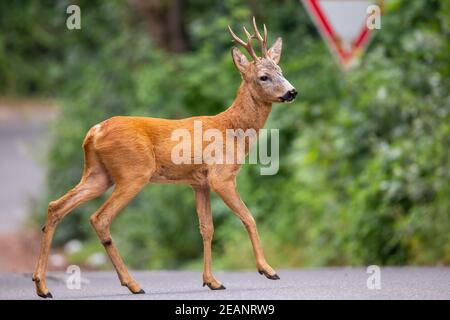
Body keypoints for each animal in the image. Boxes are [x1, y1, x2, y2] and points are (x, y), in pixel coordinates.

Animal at [33, 17, 298, 298]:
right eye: (263, 76)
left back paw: (42, 286)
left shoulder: (199, 182)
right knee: (99, 218)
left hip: (98, 174)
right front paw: (267, 269)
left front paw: (211, 280)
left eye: (281, 69)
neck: (232, 129)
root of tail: (94, 132)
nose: (292, 92)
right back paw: (133, 284)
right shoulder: (221, 176)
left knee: (56, 206)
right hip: (133, 173)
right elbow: (248, 218)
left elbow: (206, 228)